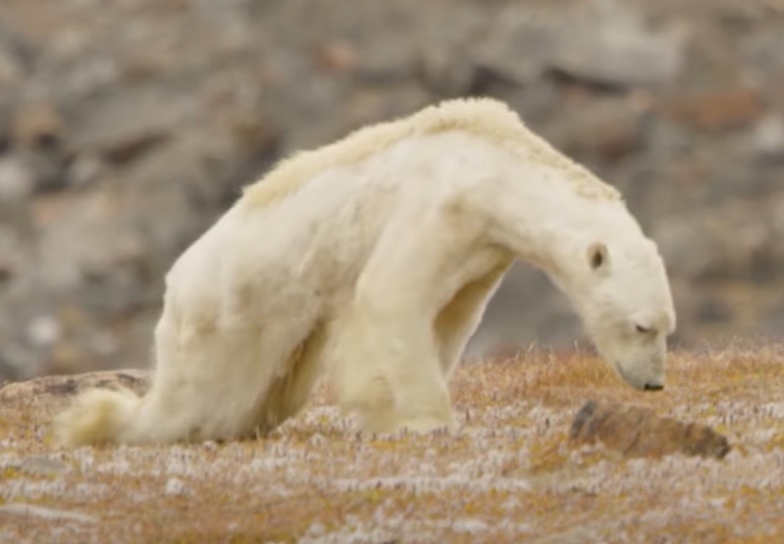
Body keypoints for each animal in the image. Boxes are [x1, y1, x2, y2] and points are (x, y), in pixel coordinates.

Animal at [53, 96, 672, 446]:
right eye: (642, 326)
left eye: (668, 327)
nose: (654, 383)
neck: (492, 167)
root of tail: (176, 282)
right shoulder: (439, 208)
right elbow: (390, 296)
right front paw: (425, 420)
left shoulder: (482, 251)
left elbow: (449, 319)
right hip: (228, 314)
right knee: (197, 403)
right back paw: (101, 423)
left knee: (266, 395)